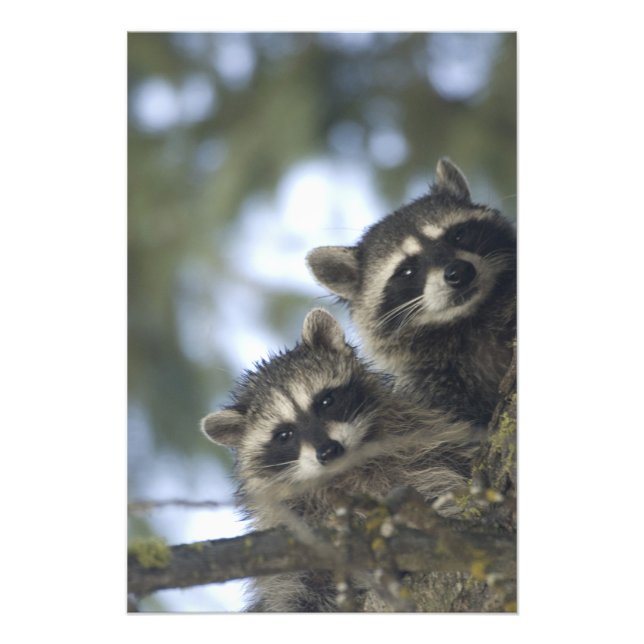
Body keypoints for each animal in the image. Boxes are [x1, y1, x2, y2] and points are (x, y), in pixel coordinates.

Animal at [201, 308, 477, 612]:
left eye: (325, 401)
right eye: (284, 434)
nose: (328, 451)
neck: (348, 471)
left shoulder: (421, 441)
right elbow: (291, 589)